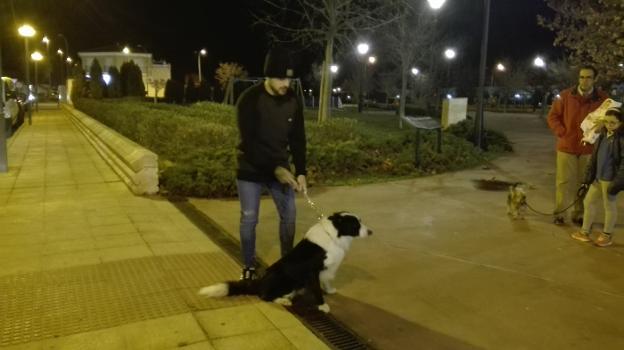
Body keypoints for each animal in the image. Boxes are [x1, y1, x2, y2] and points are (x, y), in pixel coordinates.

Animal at [199, 212, 370, 314]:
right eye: (356, 224)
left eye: (360, 222)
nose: (371, 232)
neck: (334, 235)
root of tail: (260, 282)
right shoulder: (312, 272)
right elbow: (317, 291)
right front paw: (322, 305)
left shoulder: (328, 268)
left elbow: (327, 281)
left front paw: (330, 290)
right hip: (285, 280)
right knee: (264, 296)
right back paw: (283, 299)